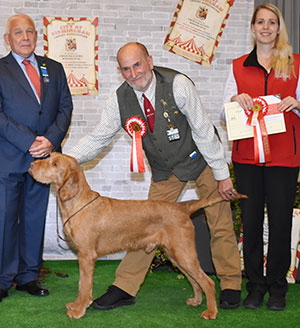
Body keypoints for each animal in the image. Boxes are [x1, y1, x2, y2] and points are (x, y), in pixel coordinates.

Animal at [28, 154, 246, 320]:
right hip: (176, 254)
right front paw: (75, 305)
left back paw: (211, 312)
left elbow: (84, 285)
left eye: (54, 164)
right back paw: (196, 300)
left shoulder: (87, 256)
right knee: (194, 279)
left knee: (208, 281)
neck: (78, 203)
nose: (31, 165)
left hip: (184, 253)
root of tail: (182, 207)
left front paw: (79, 310)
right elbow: (82, 284)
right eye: (48, 157)